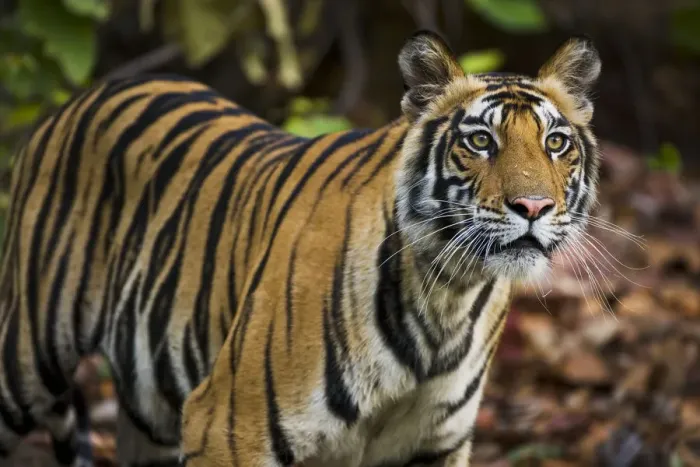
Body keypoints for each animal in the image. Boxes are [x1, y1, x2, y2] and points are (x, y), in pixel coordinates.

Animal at [0, 30, 602, 467]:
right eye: (480, 141)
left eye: (555, 143)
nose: (533, 207)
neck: (449, 293)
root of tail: (84, 95)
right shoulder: (227, 427)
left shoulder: (435, 442)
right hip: (25, 362)